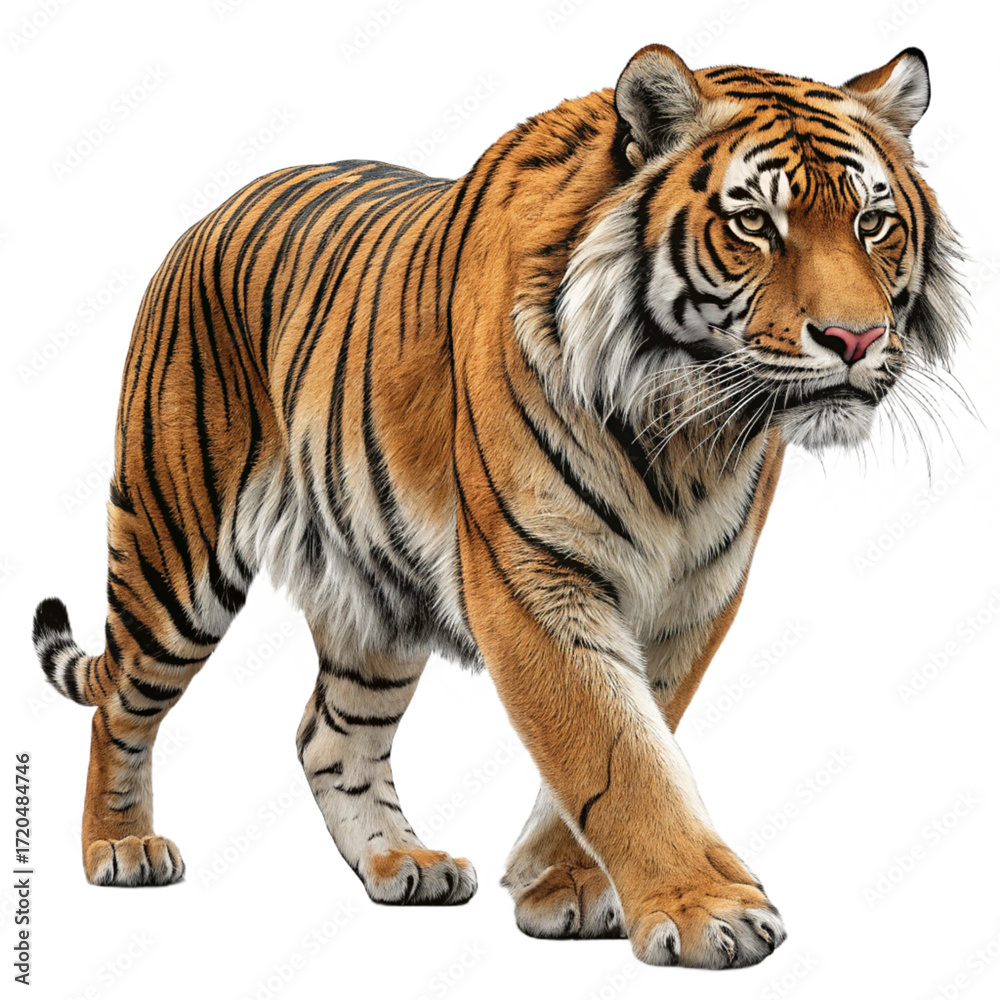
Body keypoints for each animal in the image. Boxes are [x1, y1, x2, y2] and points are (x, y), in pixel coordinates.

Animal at [32, 44, 964, 969]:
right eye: (754, 225)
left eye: (873, 224)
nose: (856, 339)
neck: (689, 426)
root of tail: (209, 216)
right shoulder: (532, 578)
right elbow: (615, 748)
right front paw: (708, 911)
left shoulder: (694, 593)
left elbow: (637, 729)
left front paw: (562, 885)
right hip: (175, 555)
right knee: (122, 704)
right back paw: (120, 847)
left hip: (375, 599)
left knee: (329, 734)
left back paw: (402, 863)